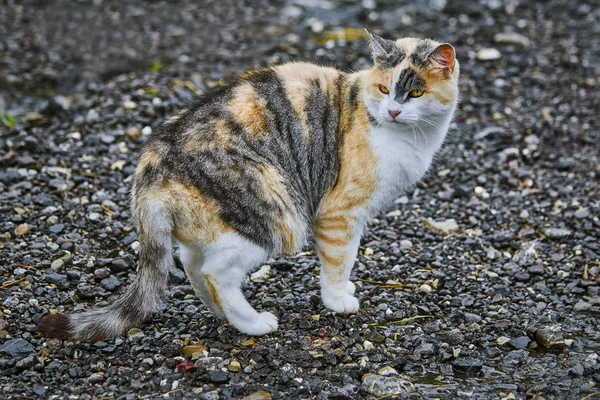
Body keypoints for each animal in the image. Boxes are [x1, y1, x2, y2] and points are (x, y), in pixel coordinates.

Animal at [37, 31, 460, 340]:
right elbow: (341, 261)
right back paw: (253, 323)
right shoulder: (340, 214)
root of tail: (154, 159)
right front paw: (338, 299)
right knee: (217, 273)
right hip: (278, 215)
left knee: (193, 265)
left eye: (416, 92)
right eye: (384, 90)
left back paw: (222, 315)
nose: (394, 111)